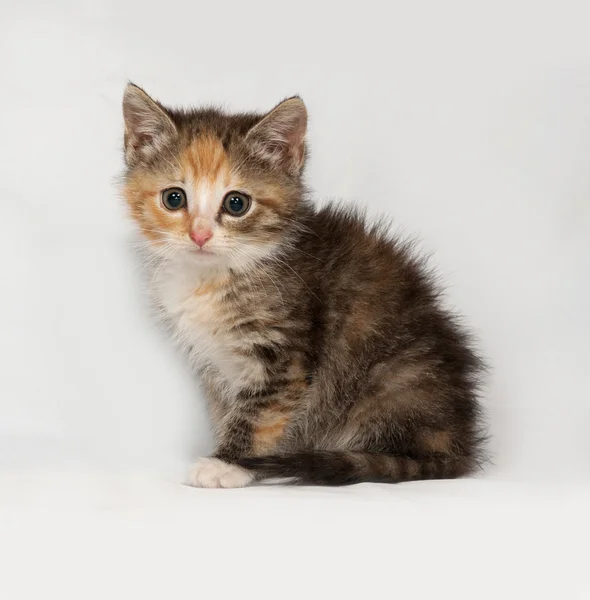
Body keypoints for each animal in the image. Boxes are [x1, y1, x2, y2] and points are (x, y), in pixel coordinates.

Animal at [120, 83, 486, 488]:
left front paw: (228, 464)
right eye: (174, 198)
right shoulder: (215, 364)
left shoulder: (284, 353)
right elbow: (227, 408)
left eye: (236, 203)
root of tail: (458, 447)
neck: (219, 274)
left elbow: (260, 412)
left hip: (394, 380)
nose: (199, 236)